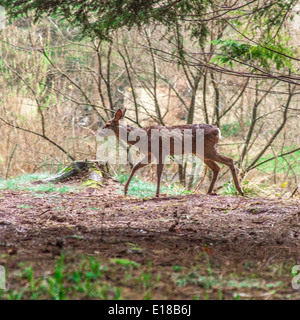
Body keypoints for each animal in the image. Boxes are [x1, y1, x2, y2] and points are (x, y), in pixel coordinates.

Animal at [98, 108, 244, 198]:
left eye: (107, 124)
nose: (99, 133)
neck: (141, 137)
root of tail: (218, 131)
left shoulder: (160, 151)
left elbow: (159, 172)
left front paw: (157, 194)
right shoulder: (150, 155)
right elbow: (135, 167)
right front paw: (125, 190)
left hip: (207, 150)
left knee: (229, 160)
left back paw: (239, 190)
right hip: (201, 152)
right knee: (216, 167)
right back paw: (209, 192)